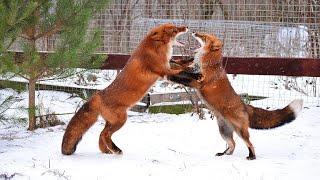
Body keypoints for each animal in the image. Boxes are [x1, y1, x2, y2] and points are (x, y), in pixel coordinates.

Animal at [61, 23, 189, 155]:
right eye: (175, 30)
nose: (186, 27)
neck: (157, 47)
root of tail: (97, 95)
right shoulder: (163, 71)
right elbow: (181, 72)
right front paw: (193, 73)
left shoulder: (167, 66)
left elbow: (179, 65)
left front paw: (189, 61)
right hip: (121, 120)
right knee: (105, 134)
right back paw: (116, 150)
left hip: (112, 121)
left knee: (101, 134)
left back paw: (106, 150)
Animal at [169, 31, 304, 160]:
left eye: (204, 37)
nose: (193, 32)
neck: (208, 63)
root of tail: (245, 106)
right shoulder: (191, 70)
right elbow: (180, 66)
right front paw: (172, 61)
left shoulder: (197, 82)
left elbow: (181, 75)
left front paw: (171, 75)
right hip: (224, 131)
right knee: (233, 144)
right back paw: (224, 154)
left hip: (240, 131)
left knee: (249, 144)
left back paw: (251, 156)